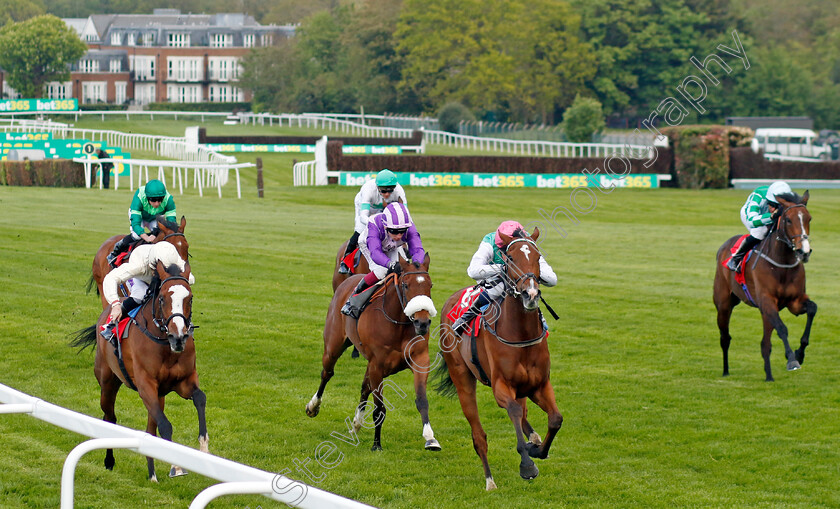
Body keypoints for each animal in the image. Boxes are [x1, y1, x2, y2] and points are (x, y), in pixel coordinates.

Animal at [72, 260, 207, 478]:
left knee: (150, 429)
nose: (178, 337)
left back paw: (152, 475)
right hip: (107, 382)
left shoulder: (183, 382)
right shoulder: (146, 386)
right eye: (162, 299)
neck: (165, 345)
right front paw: (177, 466)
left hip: (159, 395)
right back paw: (109, 461)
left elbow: (200, 398)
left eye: (190, 298)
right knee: (110, 417)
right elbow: (165, 425)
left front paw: (204, 449)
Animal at [306, 252, 442, 450]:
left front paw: (430, 438)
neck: (398, 323)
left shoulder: (419, 360)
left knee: (364, 387)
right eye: (406, 285)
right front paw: (377, 444)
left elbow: (422, 400)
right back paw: (313, 406)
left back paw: (356, 423)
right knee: (327, 373)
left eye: (429, 285)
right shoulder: (378, 365)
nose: (422, 322)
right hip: (333, 346)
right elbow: (379, 408)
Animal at [434, 226, 564, 488]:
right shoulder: (501, 386)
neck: (520, 335)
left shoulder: (540, 384)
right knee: (479, 436)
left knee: (525, 415)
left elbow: (556, 418)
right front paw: (527, 465)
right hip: (462, 377)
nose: (530, 294)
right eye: (511, 258)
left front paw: (537, 450)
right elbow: (512, 410)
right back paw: (489, 479)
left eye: (538, 257)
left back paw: (533, 438)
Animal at [712, 190, 816, 380]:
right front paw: (792, 360)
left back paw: (769, 376)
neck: (781, 263)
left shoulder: (795, 302)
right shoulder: (767, 301)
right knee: (725, 338)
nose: (804, 251)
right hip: (723, 305)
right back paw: (725, 371)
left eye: (809, 218)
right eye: (788, 220)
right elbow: (782, 328)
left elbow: (812, 309)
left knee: (765, 344)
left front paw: (800, 353)